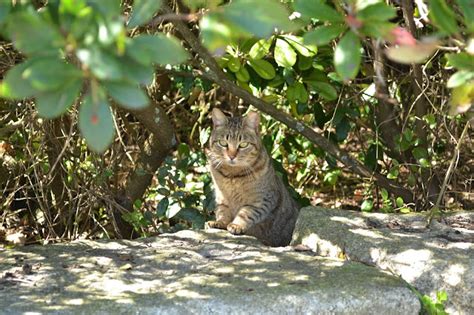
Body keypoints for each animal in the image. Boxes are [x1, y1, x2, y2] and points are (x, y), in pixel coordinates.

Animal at [205, 108, 300, 247]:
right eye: (223, 143)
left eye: (243, 144)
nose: (231, 156)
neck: (233, 175)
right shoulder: (222, 198)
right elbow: (222, 211)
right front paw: (220, 222)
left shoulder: (261, 200)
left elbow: (246, 213)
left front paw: (236, 225)